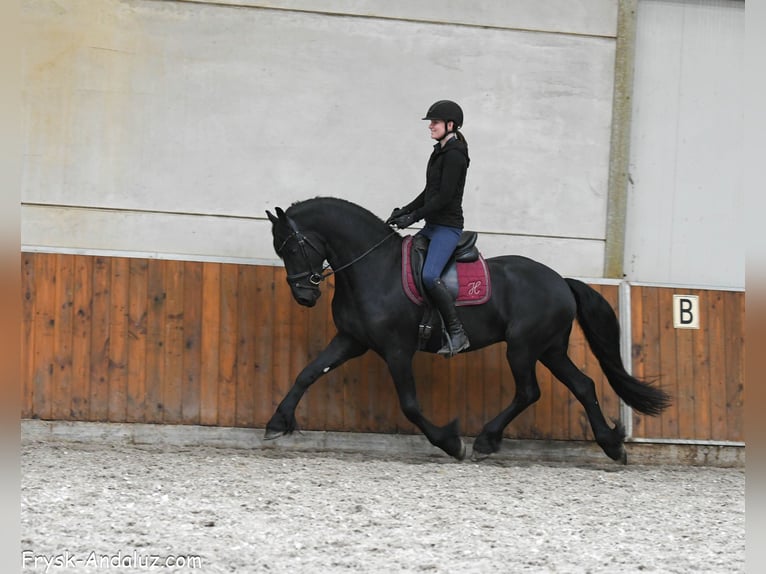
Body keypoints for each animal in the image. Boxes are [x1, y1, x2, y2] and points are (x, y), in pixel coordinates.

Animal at [264, 197, 670, 463]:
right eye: (281, 250)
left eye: (293, 247)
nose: (304, 295)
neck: (373, 268)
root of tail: (560, 281)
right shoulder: (351, 340)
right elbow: (307, 374)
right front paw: (276, 422)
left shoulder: (397, 350)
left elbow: (410, 405)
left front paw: (450, 442)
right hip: (550, 349)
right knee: (583, 385)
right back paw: (612, 446)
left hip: (523, 347)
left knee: (529, 391)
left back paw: (486, 441)